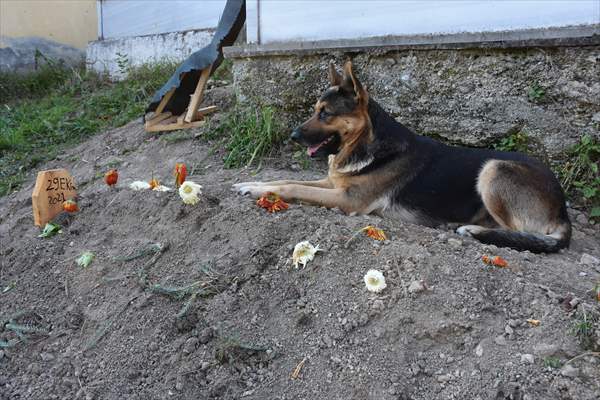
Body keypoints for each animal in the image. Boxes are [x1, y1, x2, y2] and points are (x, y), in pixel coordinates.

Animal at [232, 61, 568, 252]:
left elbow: (292, 186)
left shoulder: (348, 200)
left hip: (494, 169)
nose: (292, 136)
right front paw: (252, 183)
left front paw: (258, 190)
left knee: (519, 233)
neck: (366, 144)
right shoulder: (334, 184)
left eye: (325, 114)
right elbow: (284, 179)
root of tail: (562, 206)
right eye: (315, 110)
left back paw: (471, 230)